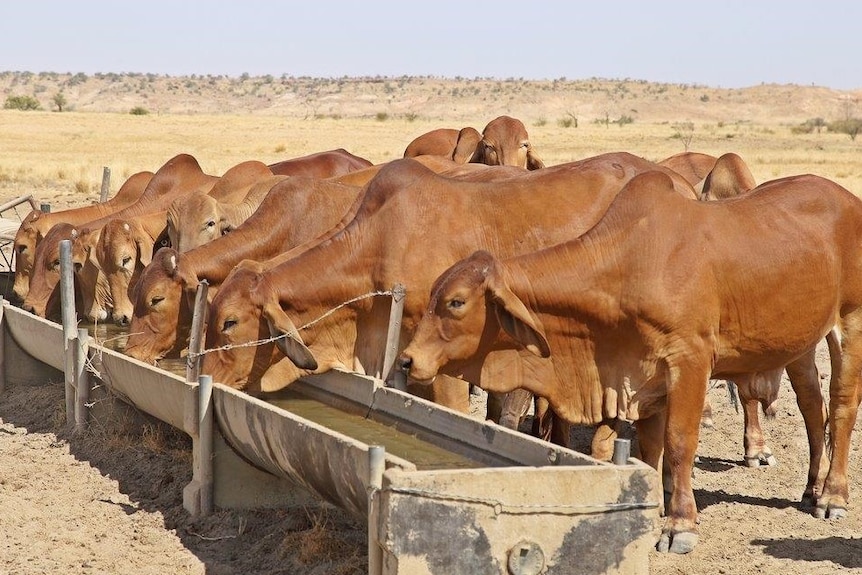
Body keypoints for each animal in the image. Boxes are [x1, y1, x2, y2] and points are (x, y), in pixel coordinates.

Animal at [400, 171, 862, 552]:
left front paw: (680, 524)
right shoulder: (644, 374)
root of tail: (847, 198)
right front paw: (654, 504)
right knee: (812, 408)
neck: (628, 265)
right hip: (800, 343)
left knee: (840, 408)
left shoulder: (689, 361)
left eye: (456, 302)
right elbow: (650, 445)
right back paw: (811, 488)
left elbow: (679, 442)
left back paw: (833, 496)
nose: (406, 359)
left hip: (850, 323)